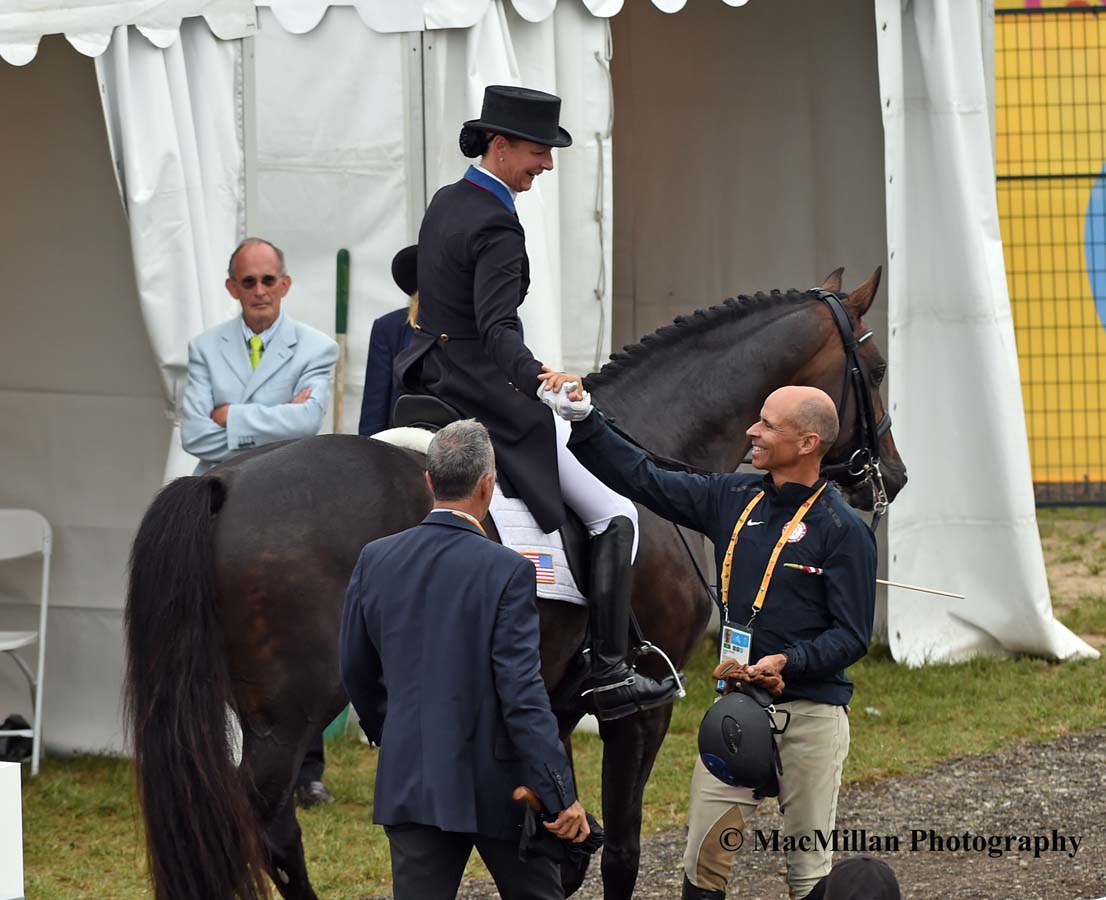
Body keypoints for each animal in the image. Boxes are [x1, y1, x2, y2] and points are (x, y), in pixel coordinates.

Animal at [127, 269, 906, 900]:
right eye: (876, 367)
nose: (890, 478)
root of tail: (226, 480)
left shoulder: (548, 702)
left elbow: (560, 840)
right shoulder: (641, 711)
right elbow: (619, 849)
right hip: (288, 712)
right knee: (265, 824)